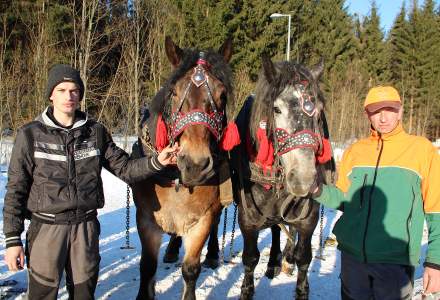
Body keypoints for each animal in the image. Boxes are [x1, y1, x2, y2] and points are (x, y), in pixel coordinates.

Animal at [131, 35, 237, 300]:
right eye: (174, 92)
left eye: (222, 95)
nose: (195, 164)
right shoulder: (146, 218)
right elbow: (147, 265)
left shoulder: (203, 218)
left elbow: (190, 269)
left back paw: (212, 254)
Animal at [234, 55, 330, 298]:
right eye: (276, 109)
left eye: (319, 110)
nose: (303, 179)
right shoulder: (248, 220)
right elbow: (250, 259)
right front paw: (247, 289)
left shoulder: (308, 218)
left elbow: (304, 258)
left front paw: (301, 286)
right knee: (277, 228)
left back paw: (286, 258)